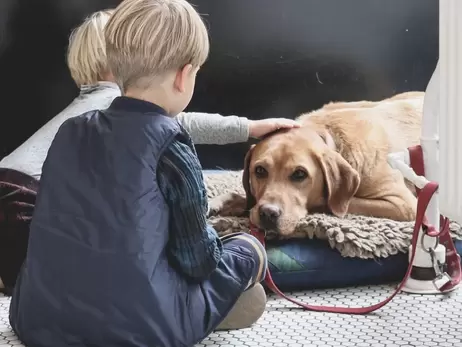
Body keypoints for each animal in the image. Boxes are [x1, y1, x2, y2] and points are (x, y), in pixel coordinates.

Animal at [211, 92, 424, 239]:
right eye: (260, 171)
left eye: (300, 174)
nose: (268, 213)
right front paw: (226, 202)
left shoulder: (404, 204)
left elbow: (329, 202)